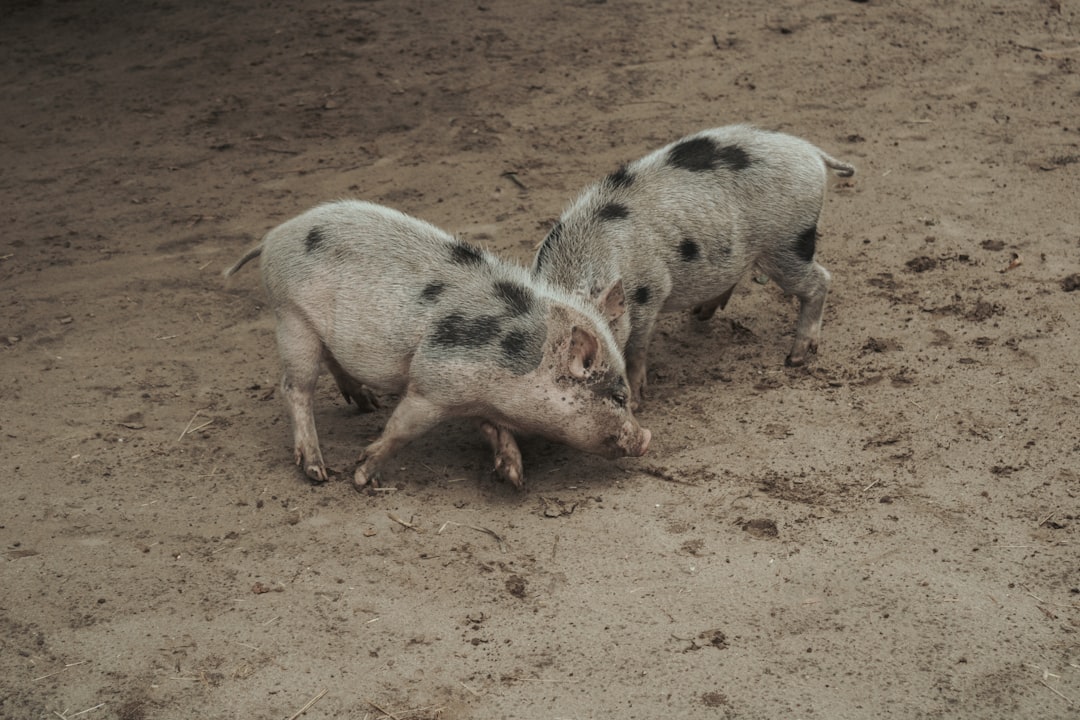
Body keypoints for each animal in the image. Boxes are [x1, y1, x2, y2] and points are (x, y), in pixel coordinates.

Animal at [224, 200, 650, 490]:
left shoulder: (476, 397)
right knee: (295, 389)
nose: (646, 438)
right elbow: (401, 429)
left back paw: (366, 404)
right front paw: (361, 477)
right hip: (290, 316)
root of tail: (273, 236)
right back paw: (318, 471)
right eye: (617, 396)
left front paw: (513, 476)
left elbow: (493, 428)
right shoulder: (430, 386)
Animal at [532, 125, 855, 406]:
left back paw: (795, 357)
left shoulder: (650, 290)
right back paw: (700, 314)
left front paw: (637, 402)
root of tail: (812, 152)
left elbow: (636, 349)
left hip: (788, 241)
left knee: (820, 281)